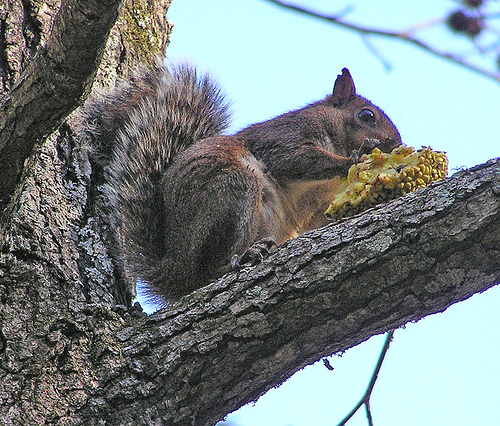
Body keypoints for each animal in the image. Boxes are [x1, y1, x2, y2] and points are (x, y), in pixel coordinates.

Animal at [78, 61, 402, 304]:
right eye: (366, 115)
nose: (396, 144)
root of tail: (174, 270)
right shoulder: (285, 137)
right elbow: (296, 159)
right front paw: (354, 159)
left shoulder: (318, 206)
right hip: (234, 192)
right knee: (207, 272)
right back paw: (242, 258)